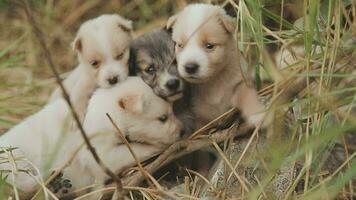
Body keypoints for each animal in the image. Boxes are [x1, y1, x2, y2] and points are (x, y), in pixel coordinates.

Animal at [0, 77, 182, 197]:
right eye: (162, 118)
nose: (182, 131)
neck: (104, 112)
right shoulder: (100, 154)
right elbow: (134, 150)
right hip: (14, 161)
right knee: (25, 181)